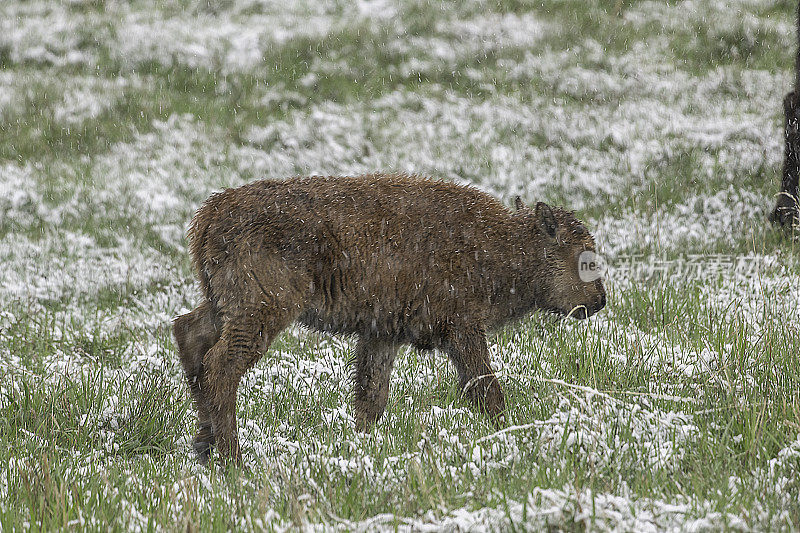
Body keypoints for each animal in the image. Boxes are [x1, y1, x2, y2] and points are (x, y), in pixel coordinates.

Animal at [172, 174, 604, 462]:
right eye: (585, 258)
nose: (599, 301)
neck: (502, 245)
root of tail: (210, 214)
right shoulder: (463, 329)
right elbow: (485, 388)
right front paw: (510, 433)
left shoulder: (382, 333)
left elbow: (371, 397)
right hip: (262, 310)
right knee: (220, 365)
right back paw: (233, 460)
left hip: (224, 305)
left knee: (190, 335)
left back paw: (204, 449)